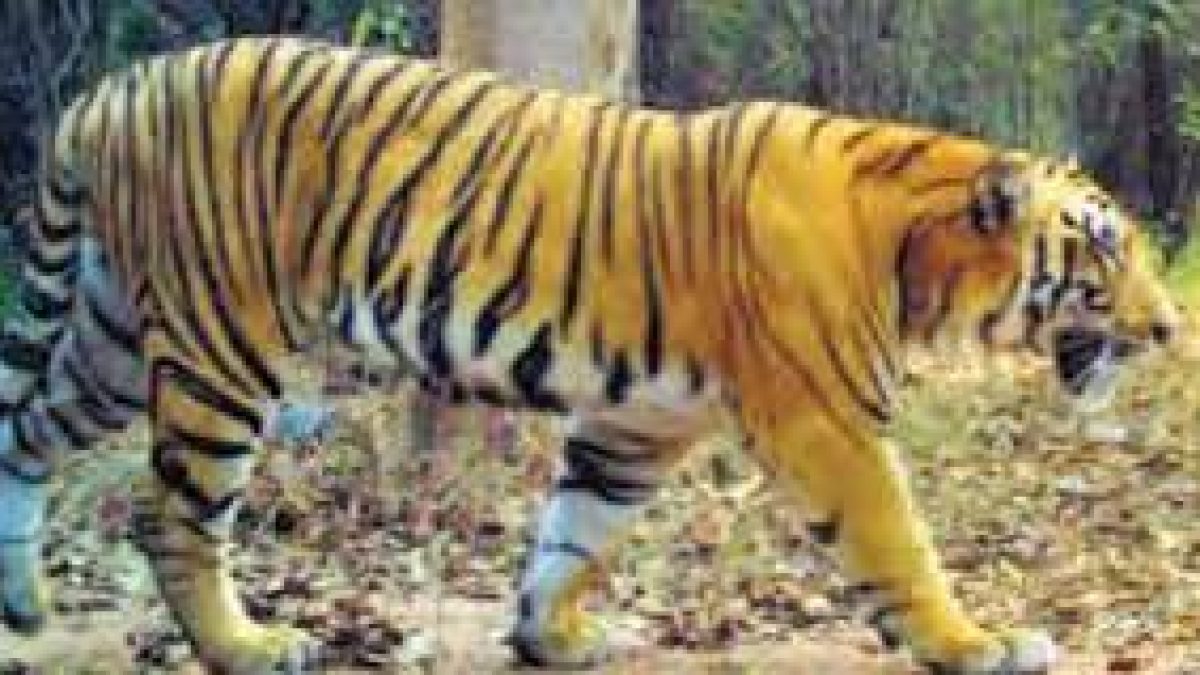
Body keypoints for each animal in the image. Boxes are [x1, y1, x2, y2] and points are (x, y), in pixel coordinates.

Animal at [0, 36, 1179, 674]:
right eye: (1102, 249)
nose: (1171, 329)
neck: (912, 250)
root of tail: (112, 92)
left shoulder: (637, 422)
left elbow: (573, 531)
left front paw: (546, 636)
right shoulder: (828, 422)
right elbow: (901, 544)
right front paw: (977, 642)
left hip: (111, 343)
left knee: (23, 432)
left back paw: (22, 606)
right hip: (220, 347)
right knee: (171, 516)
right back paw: (245, 645)